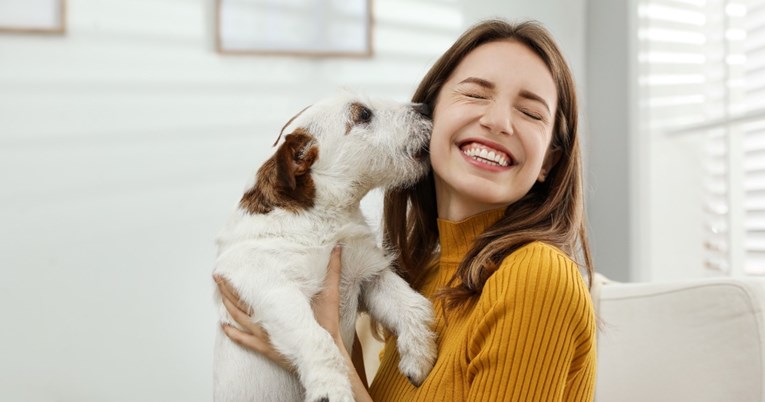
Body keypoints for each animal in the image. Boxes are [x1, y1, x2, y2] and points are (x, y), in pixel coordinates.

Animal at [212, 92, 438, 402]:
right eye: (363, 114)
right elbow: (317, 338)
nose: (426, 108)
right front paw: (331, 388)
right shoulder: (274, 289)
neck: (324, 220)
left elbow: (414, 305)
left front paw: (419, 356)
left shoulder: (369, 277)